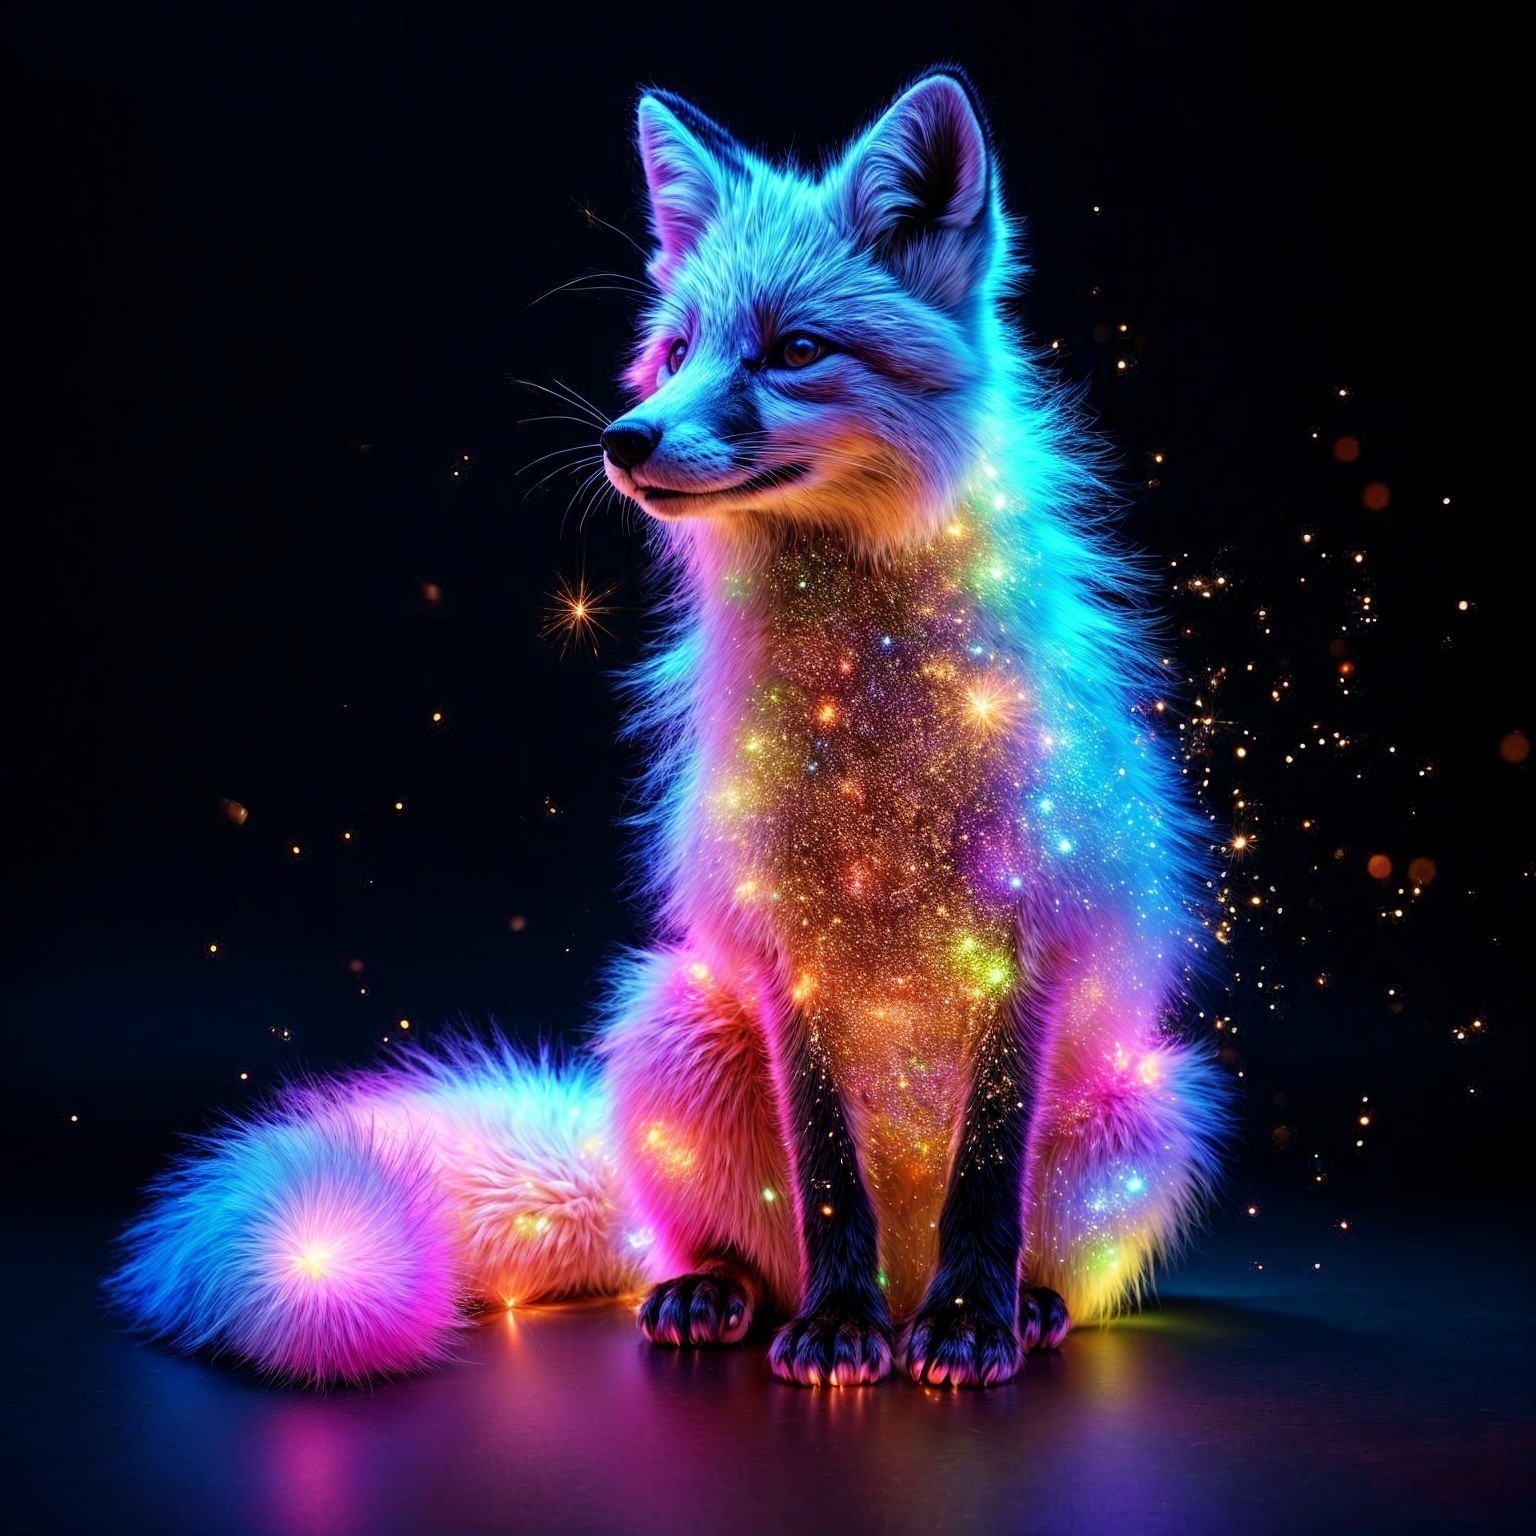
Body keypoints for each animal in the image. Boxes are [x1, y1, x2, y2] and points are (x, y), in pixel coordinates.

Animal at [108, 71, 1228, 1390]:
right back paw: (736, 1291)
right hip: (674, 1023)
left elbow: (988, 1181)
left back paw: (1000, 1307)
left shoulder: (1029, 931)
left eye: (796, 351)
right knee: (733, 1244)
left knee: (1041, 1253)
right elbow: (826, 1176)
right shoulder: (781, 942)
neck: (871, 749)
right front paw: (837, 1328)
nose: (625, 439)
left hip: (1145, 1107)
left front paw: (969, 1322)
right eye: (679, 351)